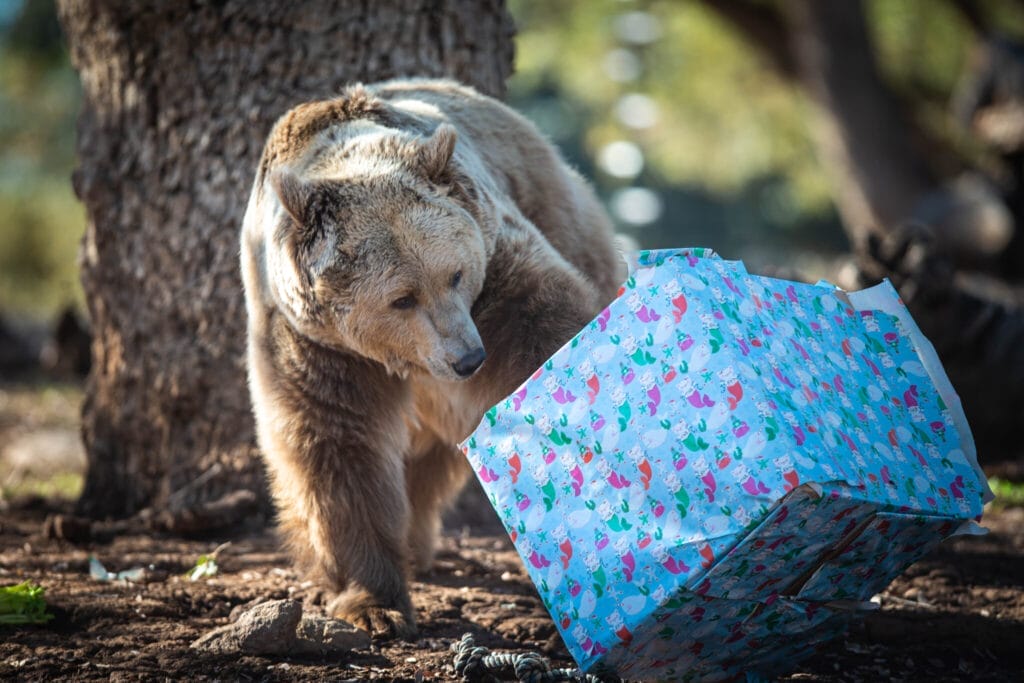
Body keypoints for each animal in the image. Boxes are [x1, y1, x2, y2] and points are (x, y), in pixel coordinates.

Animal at [240, 78, 622, 639]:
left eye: (455, 275)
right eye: (402, 298)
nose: (469, 359)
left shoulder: (498, 273)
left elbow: (544, 336)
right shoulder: (311, 341)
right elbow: (335, 445)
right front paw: (375, 604)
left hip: (565, 218)